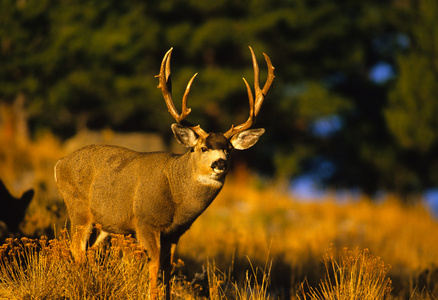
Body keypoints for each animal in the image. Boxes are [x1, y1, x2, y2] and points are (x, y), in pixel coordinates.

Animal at [54, 45, 274, 298]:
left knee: (88, 250)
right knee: (77, 248)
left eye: (229, 149)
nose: (220, 163)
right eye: (203, 147)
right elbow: (155, 265)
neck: (177, 194)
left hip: (103, 224)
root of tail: (59, 164)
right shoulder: (145, 222)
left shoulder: (175, 233)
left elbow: (169, 269)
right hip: (79, 209)